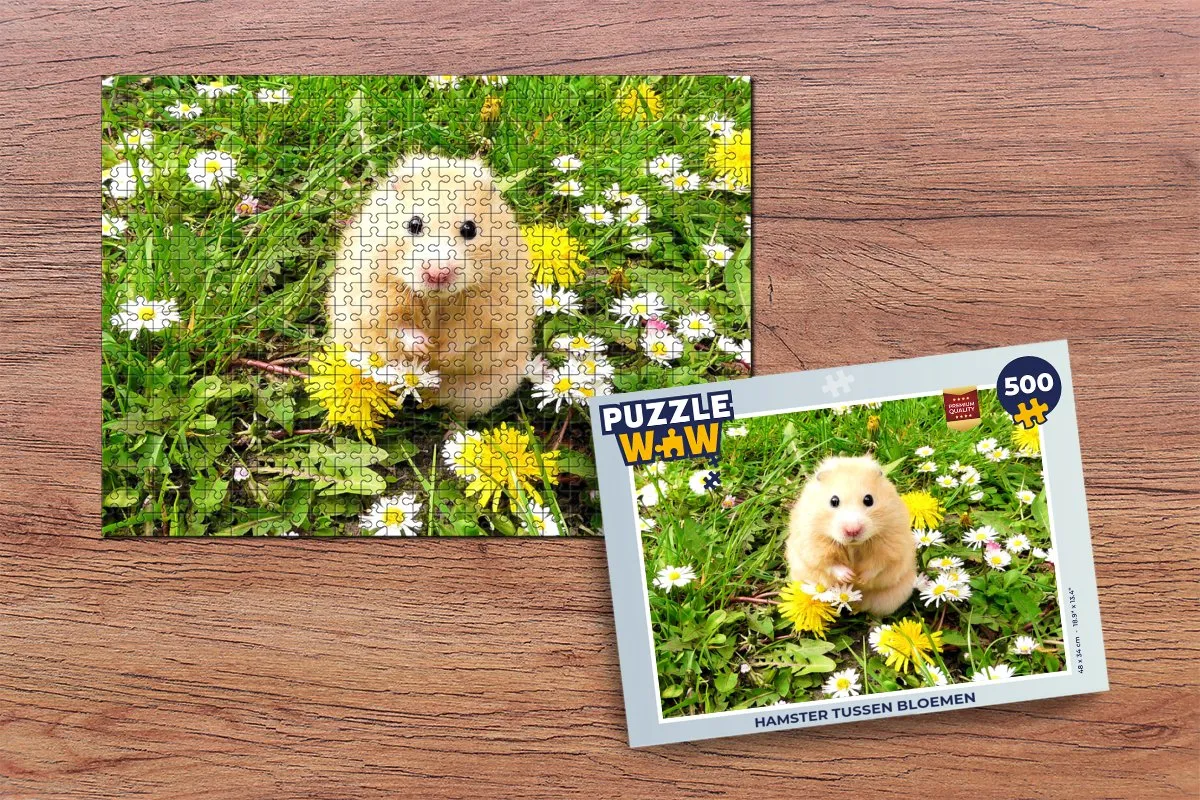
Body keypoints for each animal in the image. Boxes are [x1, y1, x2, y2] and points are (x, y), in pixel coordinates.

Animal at [327, 154, 534, 418]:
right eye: (414, 224)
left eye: (469, 229)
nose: (437, 274)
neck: (436, 299)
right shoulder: (372, 292)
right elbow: (395, 325)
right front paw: (424, 348)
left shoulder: (495, 307)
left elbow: (467, 335)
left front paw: (440, 355)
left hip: (484, 392)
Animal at [785, 455, 916, 616]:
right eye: (834, 501)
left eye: (868, 500)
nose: (852, 530)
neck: (853, 546)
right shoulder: (813, 542)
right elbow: (828, 563)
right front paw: (849, 576)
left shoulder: (891, 541)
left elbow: (879, 564)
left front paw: (860, 579)